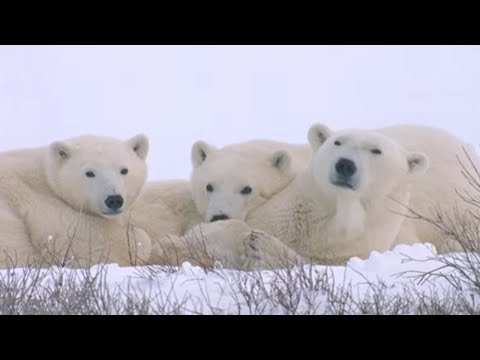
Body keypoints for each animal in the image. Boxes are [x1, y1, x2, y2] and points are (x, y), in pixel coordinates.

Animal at [0, 134, 152, 268]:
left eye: (124, 170)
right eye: (89, 173)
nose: (114, 200)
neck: (47, 177)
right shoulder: (37, 199)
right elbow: (79, 238)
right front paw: (136, 238)